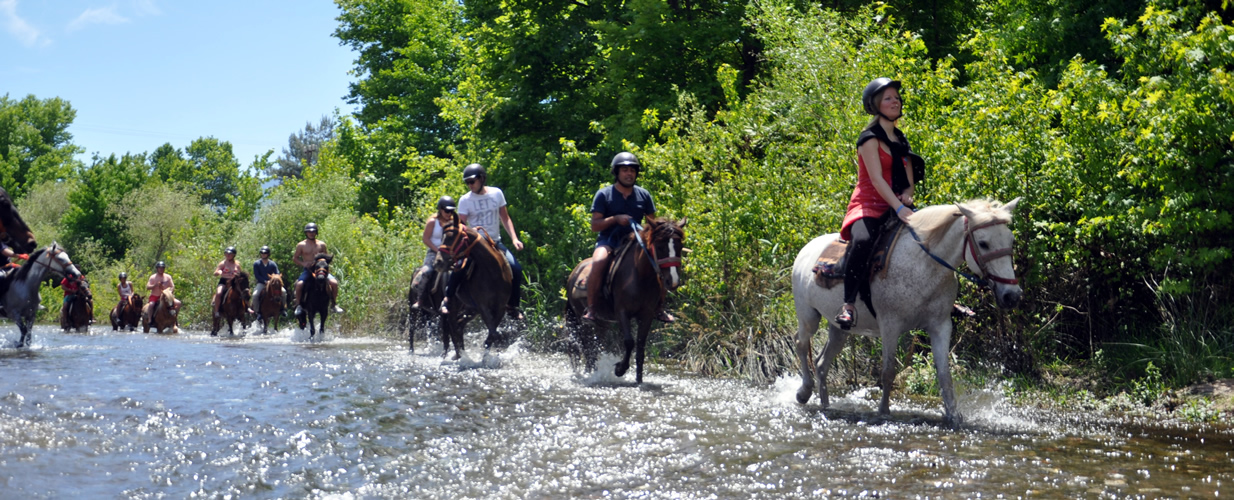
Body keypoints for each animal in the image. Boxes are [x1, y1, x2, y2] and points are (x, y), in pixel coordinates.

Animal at [434, 213, 510, 358]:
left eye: (451, 237)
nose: (438, 262)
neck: (493, 272)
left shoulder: (500, 308)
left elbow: (493, 334)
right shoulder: (483, 307)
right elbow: (493, 333)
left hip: (470, 308)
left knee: (459, 325)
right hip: (454, 305)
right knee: (452, 326)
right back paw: (458, 355)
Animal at [565, 214, 691, 382]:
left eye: (679, 246)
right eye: (660, 247)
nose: (673, 281)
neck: (640, 277)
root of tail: (574, 273)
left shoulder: (647, 315)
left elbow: (640, 347)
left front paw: (639, 381)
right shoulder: (622, 312)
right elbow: (629, 342)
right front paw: (620, 369)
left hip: (602, 323)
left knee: (594, 347)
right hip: (582, 320)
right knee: (588, 349)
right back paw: (590, 374)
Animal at [789, 198, 1021, 424]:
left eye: (1010, 240)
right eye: (983, 243)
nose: (1012, 296)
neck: (924, 264)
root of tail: (805, 249)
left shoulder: (940, 326)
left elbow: (944, 374)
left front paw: (953, 416)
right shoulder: (890, 325)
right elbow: (888, 372)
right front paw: (883, 412)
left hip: (839, 328)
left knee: (821, 363)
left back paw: (826, 405)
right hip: (808, 316)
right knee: (800, 343)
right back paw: (804, 392)